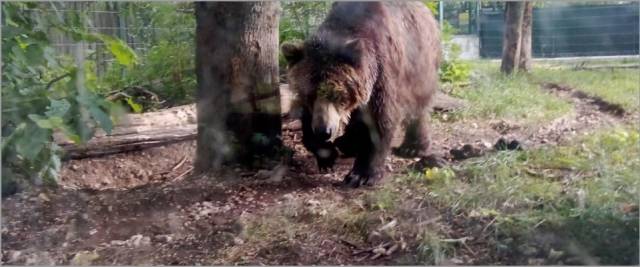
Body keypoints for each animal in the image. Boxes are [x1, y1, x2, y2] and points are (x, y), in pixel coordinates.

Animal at [284, 1, 440, 188]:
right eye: (309, 94)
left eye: (336, 94)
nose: (324, 131)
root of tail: (427, 12)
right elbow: (307, 118)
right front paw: (326, 155)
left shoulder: (382, 72)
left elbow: (380, 120)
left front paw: (360, 175)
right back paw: (347, 143)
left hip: (419, 65)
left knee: (418, 107)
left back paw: (413, 147)